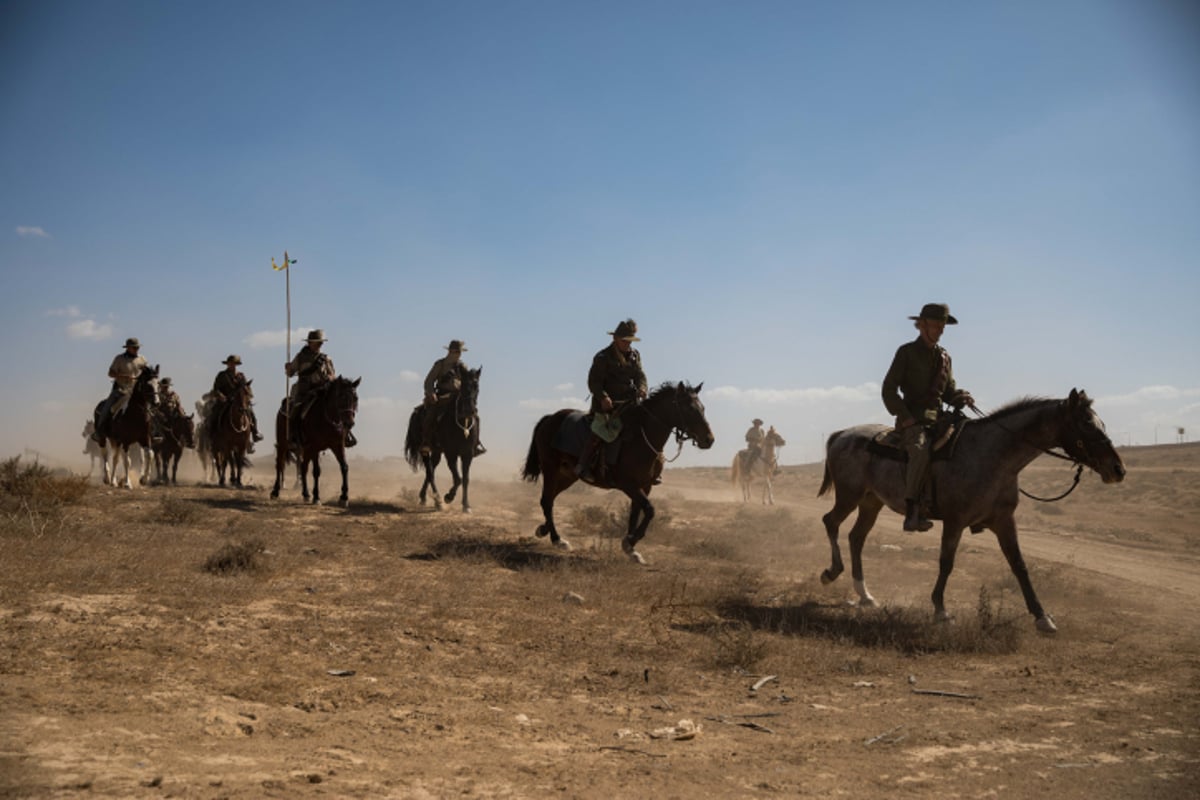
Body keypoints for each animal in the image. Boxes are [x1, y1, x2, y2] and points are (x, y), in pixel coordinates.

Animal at [272, 376, 360, 506]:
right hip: (283, 444)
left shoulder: (338, 445)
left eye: (355, 398)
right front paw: (317, 497)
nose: (350, 423)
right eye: (341, 396)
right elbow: (317, 471)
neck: (327, 418)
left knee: (303, 467)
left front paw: (344, 497)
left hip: (304, 450)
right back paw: (275, 491)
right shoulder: (314, 447)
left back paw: (306, 494)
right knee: (280, 464)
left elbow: (344, 467)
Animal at [400, 364, 480, 510]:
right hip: (425, 449)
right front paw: (448, 497)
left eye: (477, 386)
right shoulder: (451, 453)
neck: (462, 422)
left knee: (431, 468)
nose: (469, 410)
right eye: (464, 386)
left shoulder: (468, 454)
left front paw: (466, 505)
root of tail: (417, 411)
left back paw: (424, 497)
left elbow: (465, 479)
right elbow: (458, 479)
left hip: (437, 450)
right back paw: (438, 500)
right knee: (430, 471)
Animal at [518, 381, 710, 563]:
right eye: (689, 408)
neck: (641, 437)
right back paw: (557, 539)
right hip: (551, 470)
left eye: (702, 408)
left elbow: (636, 512)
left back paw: (544, 530)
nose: (709, 440)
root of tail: (550, 418)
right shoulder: (628, 485)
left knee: (549, 499)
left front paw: (631, 549)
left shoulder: (645, 486)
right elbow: (650, 510)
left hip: (568, 475)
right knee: (547, 501)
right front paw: (630, 541)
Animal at [811, 388, 1128, 633]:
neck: (993, 456)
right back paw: (831, 572)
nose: (1118, 469)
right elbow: (946, 563)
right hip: (849, 496)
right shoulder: (955, 521)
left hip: (871, 502)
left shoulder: (1004, 521)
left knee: (856, 537)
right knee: (830, 522)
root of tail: (842, 434)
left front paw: (1042, 617)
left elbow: (1019, 565)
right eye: (1086, 423)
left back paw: (865, 594)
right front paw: (940, 611)